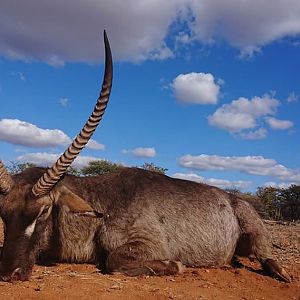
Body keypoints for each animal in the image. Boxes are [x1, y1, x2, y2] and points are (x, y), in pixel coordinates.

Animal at [0, 31, 290, 282]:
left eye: (43, 210)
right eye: (3, 213)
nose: (9, 274)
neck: (101, 205)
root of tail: (232, 198)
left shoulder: (148, 242)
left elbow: (114, 260)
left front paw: (175, 264)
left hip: (254, 229)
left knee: (265, 254)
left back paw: (281, 272)